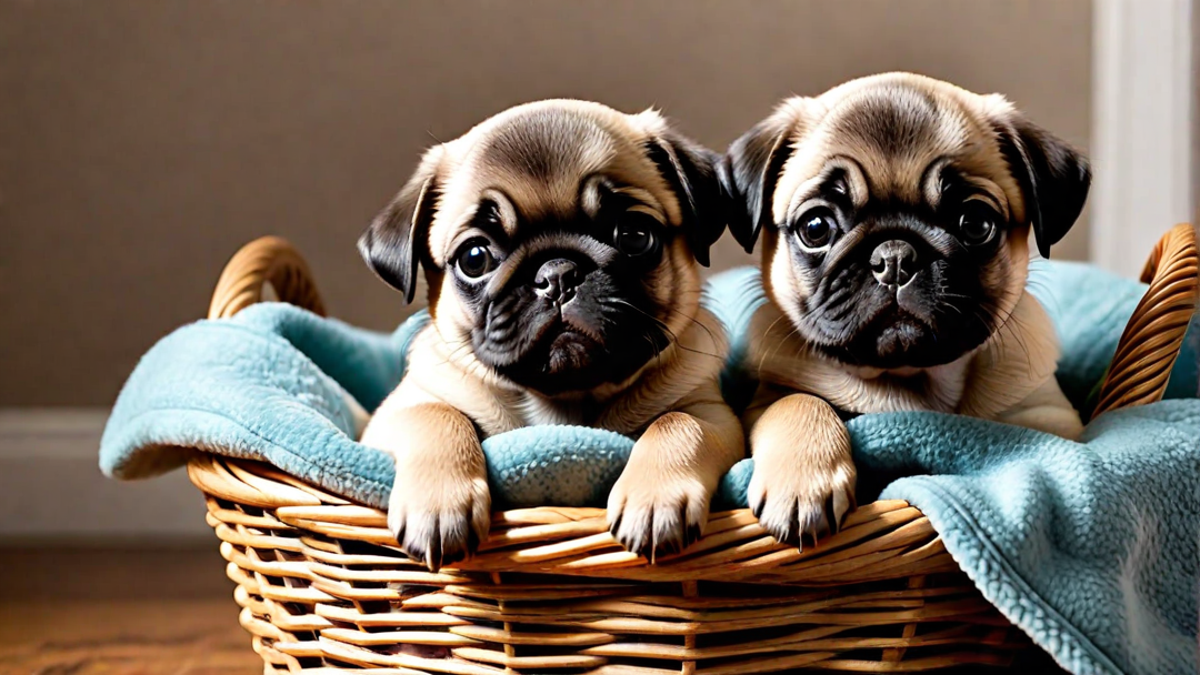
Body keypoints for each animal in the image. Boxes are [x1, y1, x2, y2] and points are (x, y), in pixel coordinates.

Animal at [360, 98, 744, 566]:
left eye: (635, 235)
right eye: (474, 258)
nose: (557, 274)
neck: (566, 403)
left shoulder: (712, 412)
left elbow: (679, 422)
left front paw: (654, 500)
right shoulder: (391, 416)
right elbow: (436, 416)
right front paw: (438, 505)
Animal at [715, 73, 1094, 542]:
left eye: (975, 223)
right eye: (815, 227)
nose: (894, 257)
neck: (912, 383)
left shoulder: (1048, 413)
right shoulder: (770, 394)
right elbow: (798, 403)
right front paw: (801, 483)